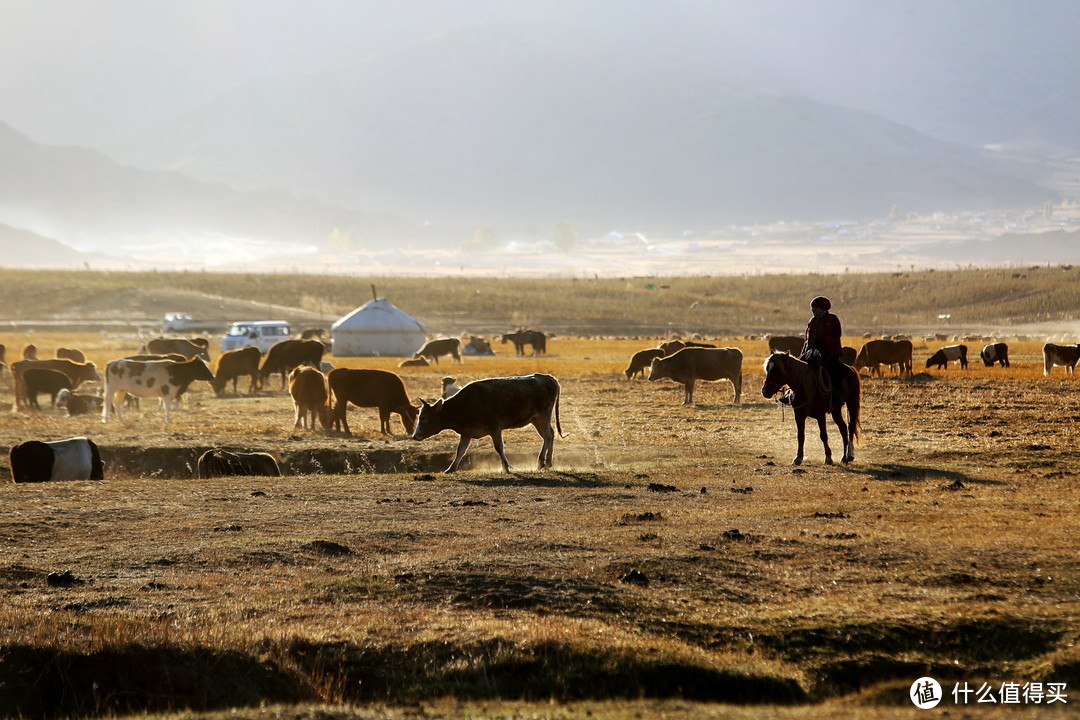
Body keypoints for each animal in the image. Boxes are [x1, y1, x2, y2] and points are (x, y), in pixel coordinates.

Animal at [410, 375, 565, 474]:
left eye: (424, 417)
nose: (414, 436)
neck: (466, 405)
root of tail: (546, 377)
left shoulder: (495, 428)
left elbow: (499, 448)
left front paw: (506, 468)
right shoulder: (466, 432)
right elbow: (460, 451)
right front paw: (450, 469)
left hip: (543, 416)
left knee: (548, 435)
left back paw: (543, 462)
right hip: (536, 419)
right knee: (549, 435)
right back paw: (546, 463)